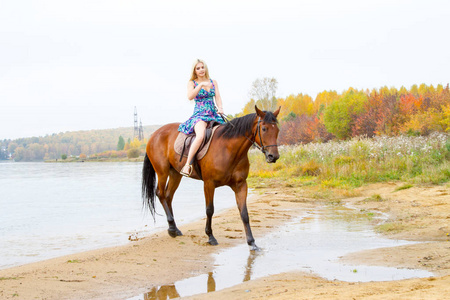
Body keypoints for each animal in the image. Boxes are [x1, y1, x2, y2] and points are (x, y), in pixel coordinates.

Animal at [142, 106, 280, 251]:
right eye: (264, 129)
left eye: (277, 130)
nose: (273, 156)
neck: (229, 149)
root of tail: (154, 135)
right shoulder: (209, 184)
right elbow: (209, 210)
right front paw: (210, 236)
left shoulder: (241, 185)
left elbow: (244, 213)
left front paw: (252, 242)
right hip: (162, 172)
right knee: (160, 194)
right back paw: (172, 228)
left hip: (175, 174)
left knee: (168, 196)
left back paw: (174, 228)